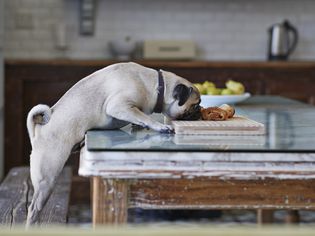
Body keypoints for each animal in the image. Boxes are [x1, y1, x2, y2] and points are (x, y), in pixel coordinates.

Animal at [25, 61, 201, 226]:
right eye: (195, 105)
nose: (200, 111)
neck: (156, 86)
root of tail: (39, 130)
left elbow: (139, 117)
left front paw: (139, 126)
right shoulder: (120, 106)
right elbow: (143, 116)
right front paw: (158, 126)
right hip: (47, 179)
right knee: (33, 208)